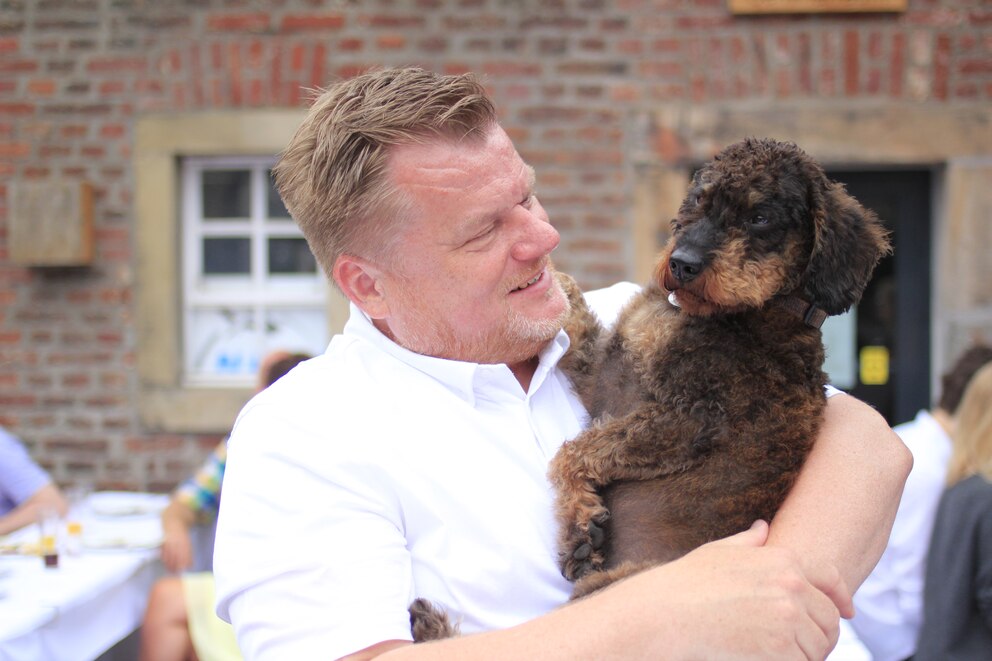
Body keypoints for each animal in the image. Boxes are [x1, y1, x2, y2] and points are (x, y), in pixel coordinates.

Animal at [552, 138, 892, 600]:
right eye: (699, 200)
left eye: (760, 217)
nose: (681, 263)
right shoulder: (605, 376)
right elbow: (573, 316)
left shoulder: (688, 419)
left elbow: (574, 452)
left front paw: (580, 530)